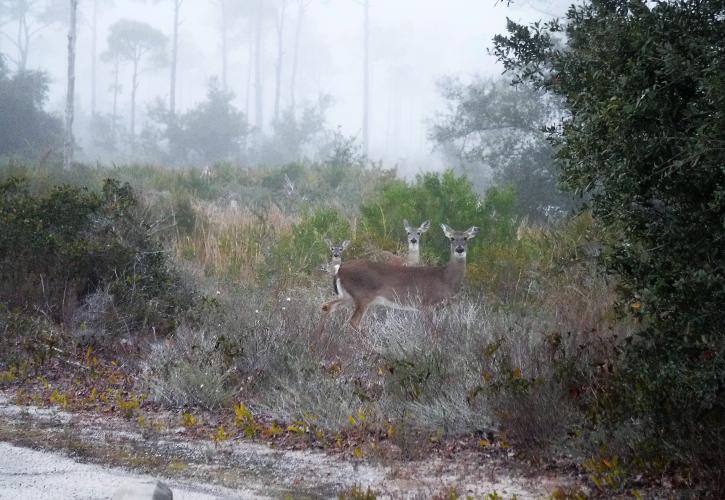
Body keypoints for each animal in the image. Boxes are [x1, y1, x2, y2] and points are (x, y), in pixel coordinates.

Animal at [318, 224, 478, 332]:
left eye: (465, 238)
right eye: (452, 238)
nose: (459, 249)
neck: (445, 278)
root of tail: (340, 269)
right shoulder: (426, 304)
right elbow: (431, 332)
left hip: (347, 296)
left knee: (327, 306)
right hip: (362, 296)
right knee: (353, 322)